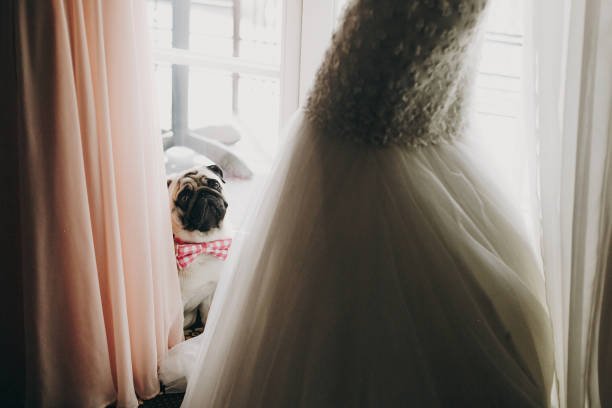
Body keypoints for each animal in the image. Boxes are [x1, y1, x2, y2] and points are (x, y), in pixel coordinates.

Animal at [167, 164, 232, 326]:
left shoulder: (209, 297)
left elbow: (207, 319)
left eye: (214, 184)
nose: (204, 193)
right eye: (184, 197)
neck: (203, 245)